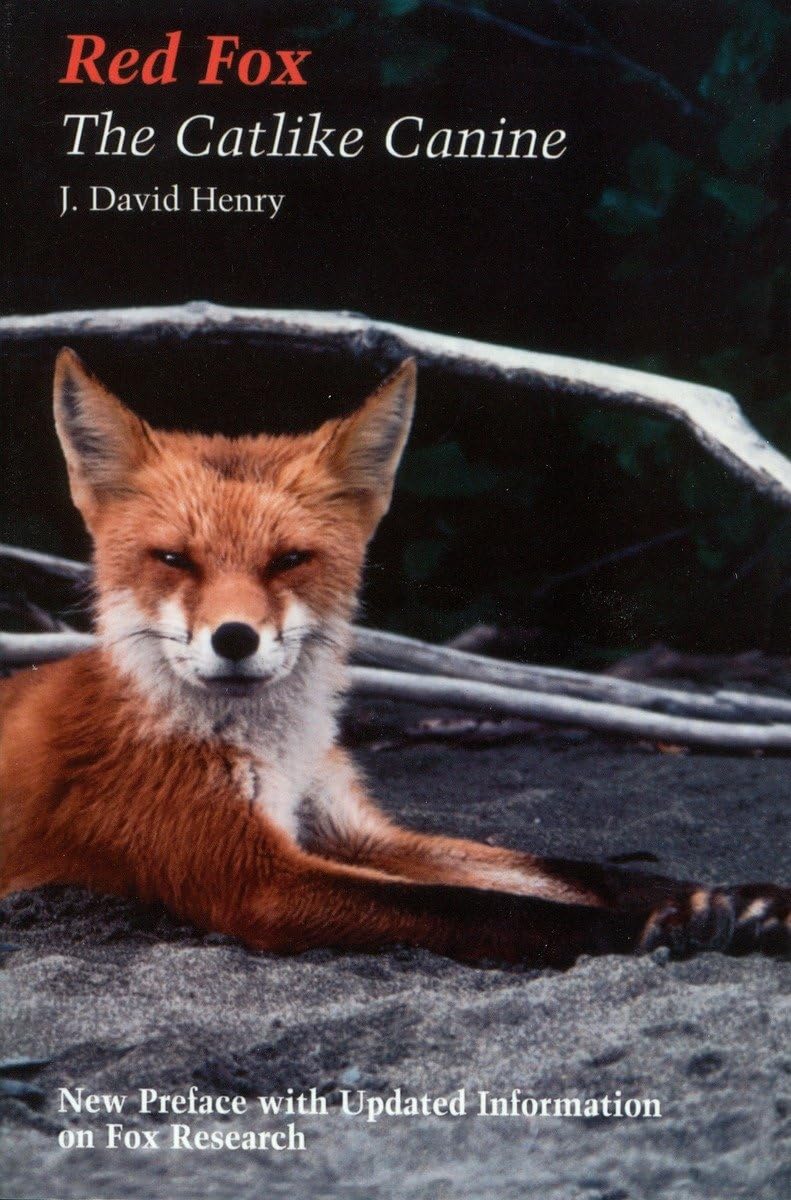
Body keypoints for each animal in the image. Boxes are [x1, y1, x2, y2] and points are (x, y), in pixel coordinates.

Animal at [0, 347, 788, 967]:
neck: (274, 752)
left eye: (289, 560)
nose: (235, 639)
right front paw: (642, 926)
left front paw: (727, 899)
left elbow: (558, 868)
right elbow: (483, 907)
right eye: (173, 560)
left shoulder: (349, 828)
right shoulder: (254, 877)